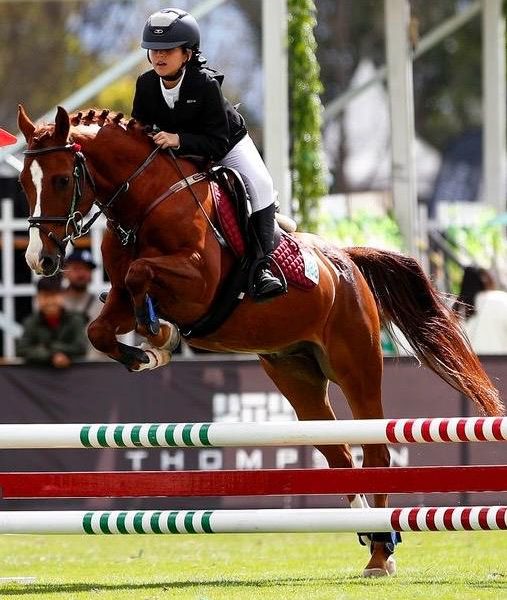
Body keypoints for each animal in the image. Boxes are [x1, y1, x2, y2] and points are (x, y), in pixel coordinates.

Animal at [17, 105, 504, 577]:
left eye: (62, 179)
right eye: (24, 182)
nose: (40, 260)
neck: (144, 204)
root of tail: (347, 259)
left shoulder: (198, 285)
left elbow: (142, 275)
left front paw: (160, 334)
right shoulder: (118, 295)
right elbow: (100, 327)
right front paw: (149, 353)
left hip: (356, 368)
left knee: (377, 451)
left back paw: (382, 554)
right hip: (296, 376)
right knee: (340, 455)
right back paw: (369, 537)